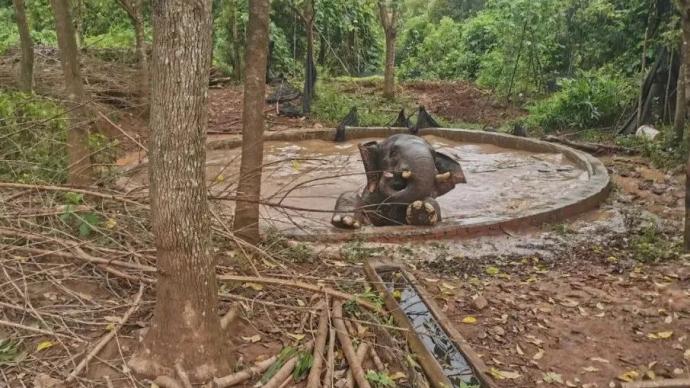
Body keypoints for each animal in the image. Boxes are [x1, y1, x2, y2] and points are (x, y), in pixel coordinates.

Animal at [330, 135, 464, 229]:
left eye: (434, 157)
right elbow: (349, 196)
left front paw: (421, 211)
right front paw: (344, 221)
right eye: (393, 153)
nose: (388, 174)